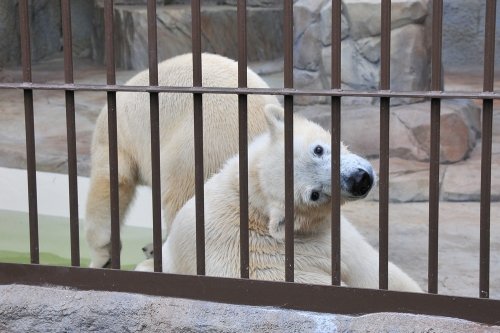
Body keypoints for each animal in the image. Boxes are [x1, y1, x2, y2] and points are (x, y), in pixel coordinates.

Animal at [163, 105, 422, 292]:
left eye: (318, 150)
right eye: (314, 194)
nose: (359, 180)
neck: (251, 201)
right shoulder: (329, 243)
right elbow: (377, 272)